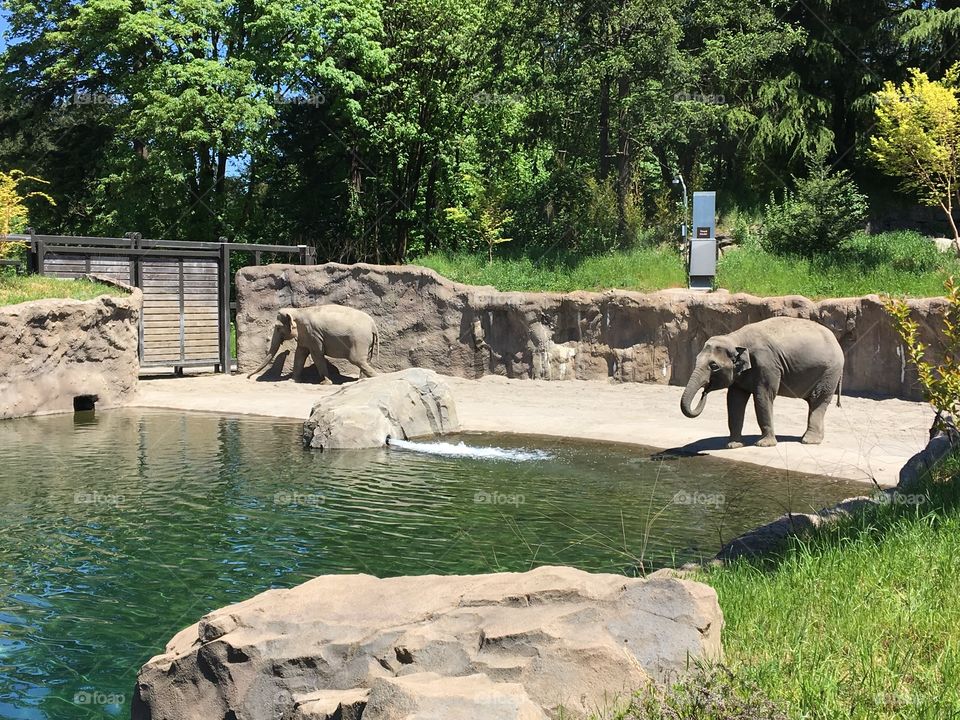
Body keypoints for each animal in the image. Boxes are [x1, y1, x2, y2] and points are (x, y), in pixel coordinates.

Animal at [247, 305, 379, 383]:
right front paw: (292, 381)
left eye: (278, 328)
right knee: (364, 360)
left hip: (359, 340)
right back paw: (362, 381)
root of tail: (373, 325)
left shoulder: (313, 333)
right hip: (366, 342)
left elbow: (316, 355)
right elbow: (300, 354)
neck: (299, 310)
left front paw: (325, 383)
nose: (248, 377)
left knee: (356, 359)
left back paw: (374, 377)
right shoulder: (305, 335)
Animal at [680, 317, 844, 448]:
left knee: (818, 399)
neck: (735, 339)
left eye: (713, 366)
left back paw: (809, 441)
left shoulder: (767, 365)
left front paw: (764, 444)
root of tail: (836, 342)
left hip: (830, 372)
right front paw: (733, 445)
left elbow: (763, 397)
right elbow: (734, 400)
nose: (704, 391)